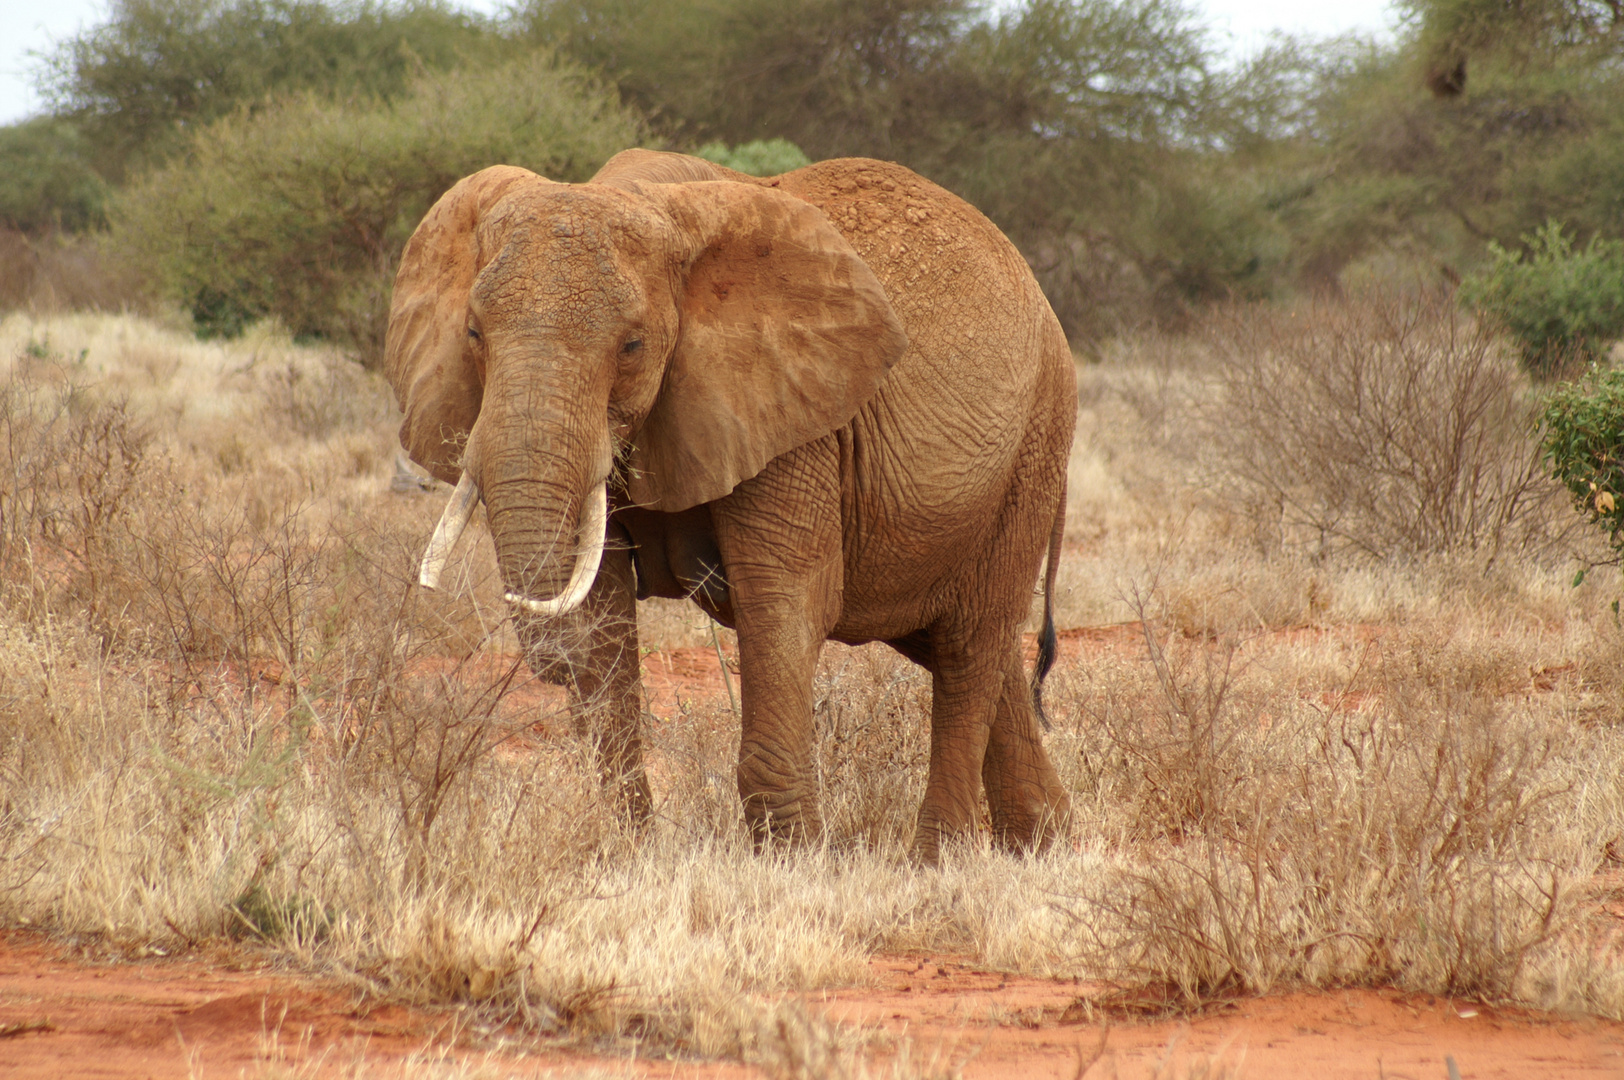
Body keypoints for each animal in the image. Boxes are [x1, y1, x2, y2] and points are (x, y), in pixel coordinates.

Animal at [383, 149, 1078, 857]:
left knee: (969, 646)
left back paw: (938, 860)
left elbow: (783, 598)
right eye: (473, 332)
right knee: (958, 641)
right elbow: (604, 603)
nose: (550, 664)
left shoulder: (791, 413)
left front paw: (795, 861)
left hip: (1033, 448)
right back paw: (1043, 843)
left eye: (632, 346)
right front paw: (632, 855)